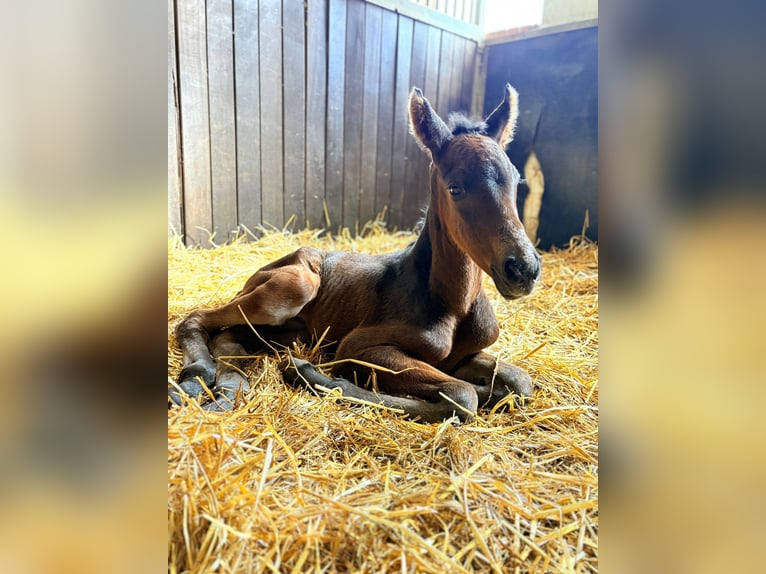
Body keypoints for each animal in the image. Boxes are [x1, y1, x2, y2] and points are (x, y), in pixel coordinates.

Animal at [170, 84, 541, 423]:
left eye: (516, 180)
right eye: (455, 187)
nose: (523, 269)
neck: (453, 304)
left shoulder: (467, 355)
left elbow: (519, 383)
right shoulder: (360, 346)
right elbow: (462, 395)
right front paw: (313, 374)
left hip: (290, 331)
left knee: (228, 335)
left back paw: (226, 387)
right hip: (293, 287)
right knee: (195, 318)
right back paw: (196, 379)